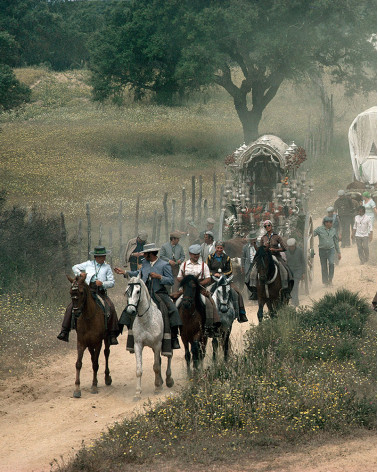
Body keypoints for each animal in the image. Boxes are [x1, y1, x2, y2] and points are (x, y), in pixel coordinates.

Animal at [126, 272, 175, 402]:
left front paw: (157, 388)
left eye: (138, 291)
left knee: (169, 357)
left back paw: (168, 380)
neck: (146, 319)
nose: (130, 311)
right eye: (127, 291)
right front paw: (137, 393)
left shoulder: (157, 344)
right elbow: (139, 369)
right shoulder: (138, 344)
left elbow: (156, 366)